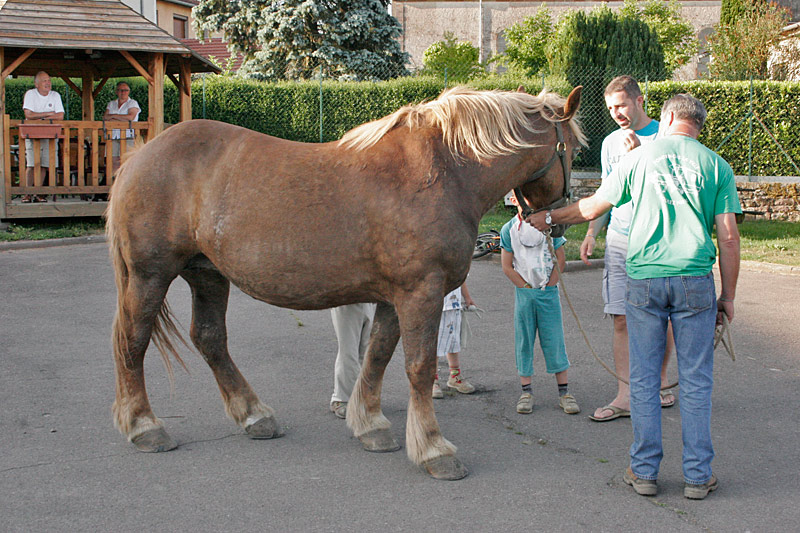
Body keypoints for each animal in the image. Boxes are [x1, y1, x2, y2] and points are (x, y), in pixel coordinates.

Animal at [104, 86, 580, 478]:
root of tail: (140, 155)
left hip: (207, 274)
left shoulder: (393, 297)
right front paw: (433, 448)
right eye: (572, 148)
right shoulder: (421, 292)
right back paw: (145, 426)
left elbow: (378, 356)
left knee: (209, 339)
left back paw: (254, 415)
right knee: (133, 341)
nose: (557, 222)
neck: (442, 173)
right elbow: (420, 367)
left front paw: (370, 424)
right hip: (150, 276)